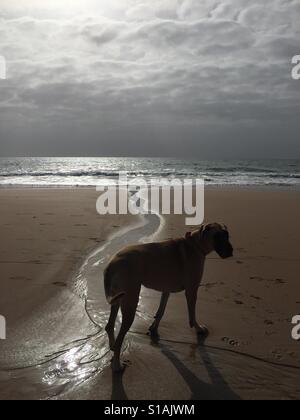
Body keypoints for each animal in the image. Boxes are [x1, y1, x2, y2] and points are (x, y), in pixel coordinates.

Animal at [104, 221, 233, 372]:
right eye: (217, 237)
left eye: (227, 235)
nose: (231, 252)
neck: (196, 244)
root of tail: (111, 264)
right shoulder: (192, 290)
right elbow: (192, 315)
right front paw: (198, 329)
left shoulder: (166, 290)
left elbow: (161, 311)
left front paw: (154, 328)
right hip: (130, 301)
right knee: (120, 337)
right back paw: (117, 365)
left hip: (118, 299)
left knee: (109, 325)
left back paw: (112, 349)